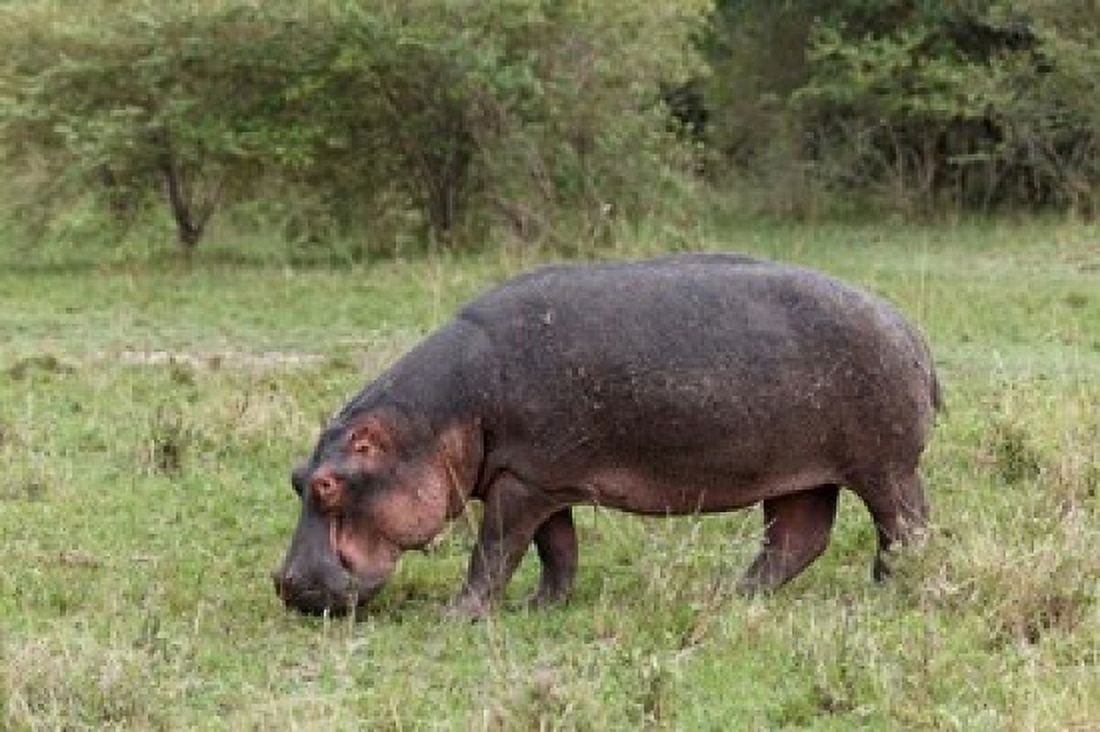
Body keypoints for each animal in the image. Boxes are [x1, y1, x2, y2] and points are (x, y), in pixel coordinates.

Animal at [274, 253, 940, 618]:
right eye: (296, 476)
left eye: (329, 484)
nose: (288, 584)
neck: (436, 417)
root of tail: (908, 327)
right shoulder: (537, 477)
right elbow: (556, 549)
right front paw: (540, 606)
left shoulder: (525, 482)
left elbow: (494, 550)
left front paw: (458, 614)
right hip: (800, 472)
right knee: (797, 537)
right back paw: (729, 593)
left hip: (884, 466)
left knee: (904, 525)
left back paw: (890, 589)